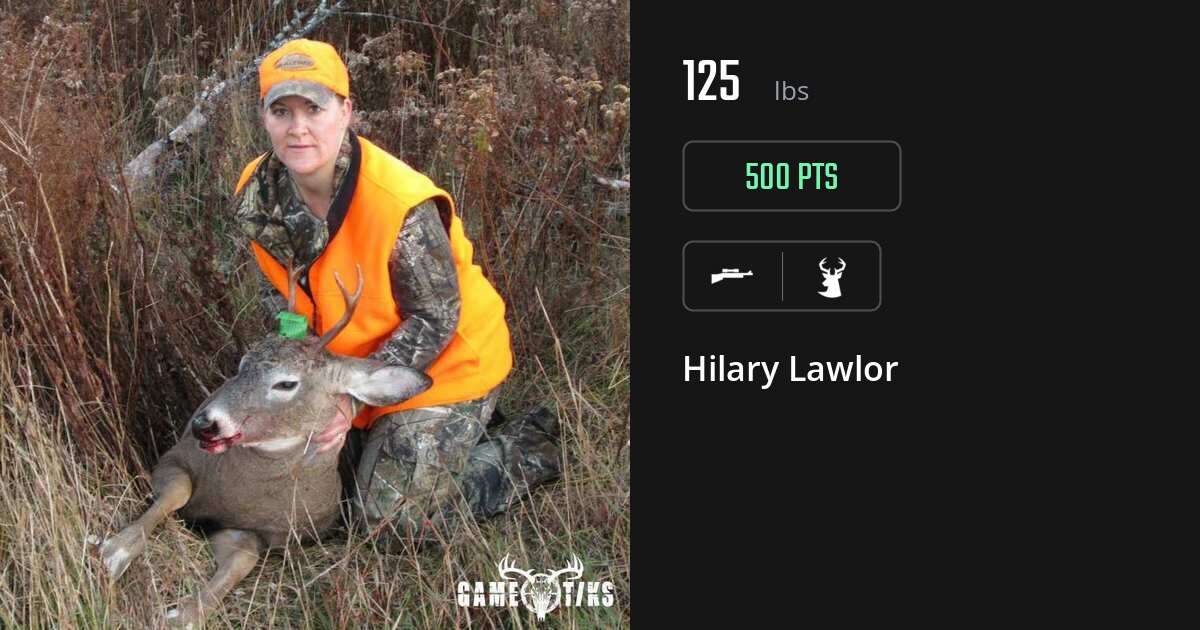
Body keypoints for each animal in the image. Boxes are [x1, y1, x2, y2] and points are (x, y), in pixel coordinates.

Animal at [98, 263, 432, 628]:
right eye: (243, 364)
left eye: (286, 383)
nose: (204, 424)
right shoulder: (175, 456)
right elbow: (178, 492)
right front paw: (113, 552)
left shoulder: (259, 535)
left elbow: (244, 559)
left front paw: (183, 615)